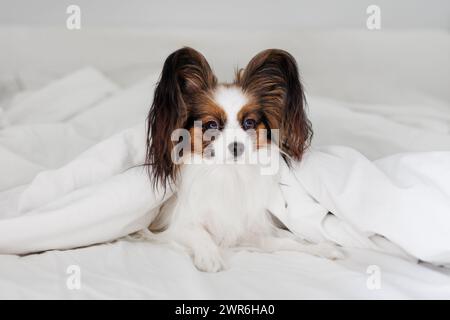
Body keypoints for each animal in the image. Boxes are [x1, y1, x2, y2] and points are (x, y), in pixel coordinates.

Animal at [144, 47, 344, 272]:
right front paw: (210, 256)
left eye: (249, 123)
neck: (228, 173)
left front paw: (320, 249)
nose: (236, 147)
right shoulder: (174, 226)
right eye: (211, 125)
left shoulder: (246, 229)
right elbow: (198, 233)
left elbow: (283, 242)